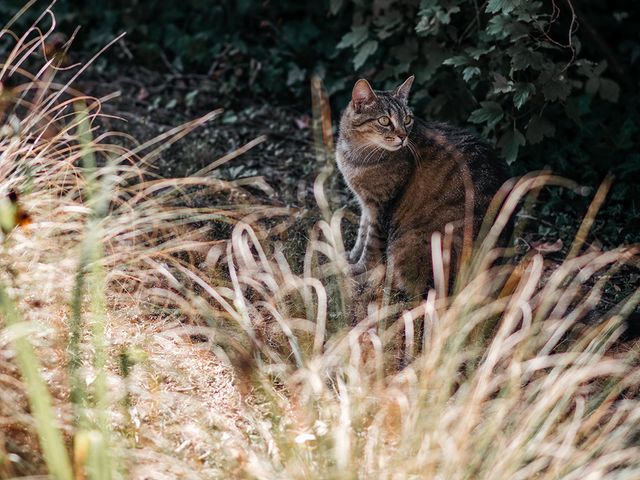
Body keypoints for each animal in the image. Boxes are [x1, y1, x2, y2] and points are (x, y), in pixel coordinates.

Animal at [336, 75, 510, 296]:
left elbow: (371, 243)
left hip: (408, 245)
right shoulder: (367, 203)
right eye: (384, 120)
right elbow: (362, 232)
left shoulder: (380, 205)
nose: (403, 136)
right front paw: (352, 256)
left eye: (407, 120)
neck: (355, 154)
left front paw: (359, 268)